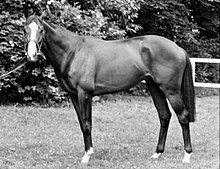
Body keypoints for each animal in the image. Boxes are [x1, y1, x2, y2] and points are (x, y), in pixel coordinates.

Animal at [24, 13, 196, 164]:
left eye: (41, 30)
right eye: (25, 29)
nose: (31, 55)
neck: (73, 51)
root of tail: (178, 48)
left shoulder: (84, 94)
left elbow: (87, 124)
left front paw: (87, 156)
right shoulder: (74, 95)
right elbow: (82, 123)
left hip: (171, 91)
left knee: (183, 116)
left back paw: (187, 155)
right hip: (154, 87)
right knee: (164, 116)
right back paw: (157, 153)